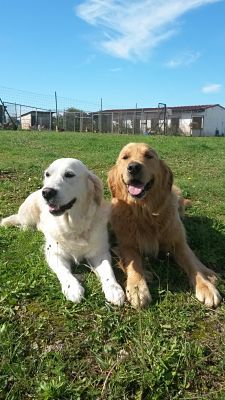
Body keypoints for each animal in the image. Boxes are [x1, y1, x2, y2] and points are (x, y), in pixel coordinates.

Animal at [0, 158, 125, 304]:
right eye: (47, 174)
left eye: (69, 175)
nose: (47, 192)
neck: (74, 224)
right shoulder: (54, 253)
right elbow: (64, 272)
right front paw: (73, 288)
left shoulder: (100, 252)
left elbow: (108, 271)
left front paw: (114, 289)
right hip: (28, 214)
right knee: (23, 225)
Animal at [107, 144, 221, 310]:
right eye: (125, 157)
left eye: (149, 156)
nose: (133, 167)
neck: (145, 213)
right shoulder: (127, 245)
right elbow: (133, 264)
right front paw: (137, 287)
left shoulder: (178, 243)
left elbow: (192, 263)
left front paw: (206, 287)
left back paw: (210, 274)